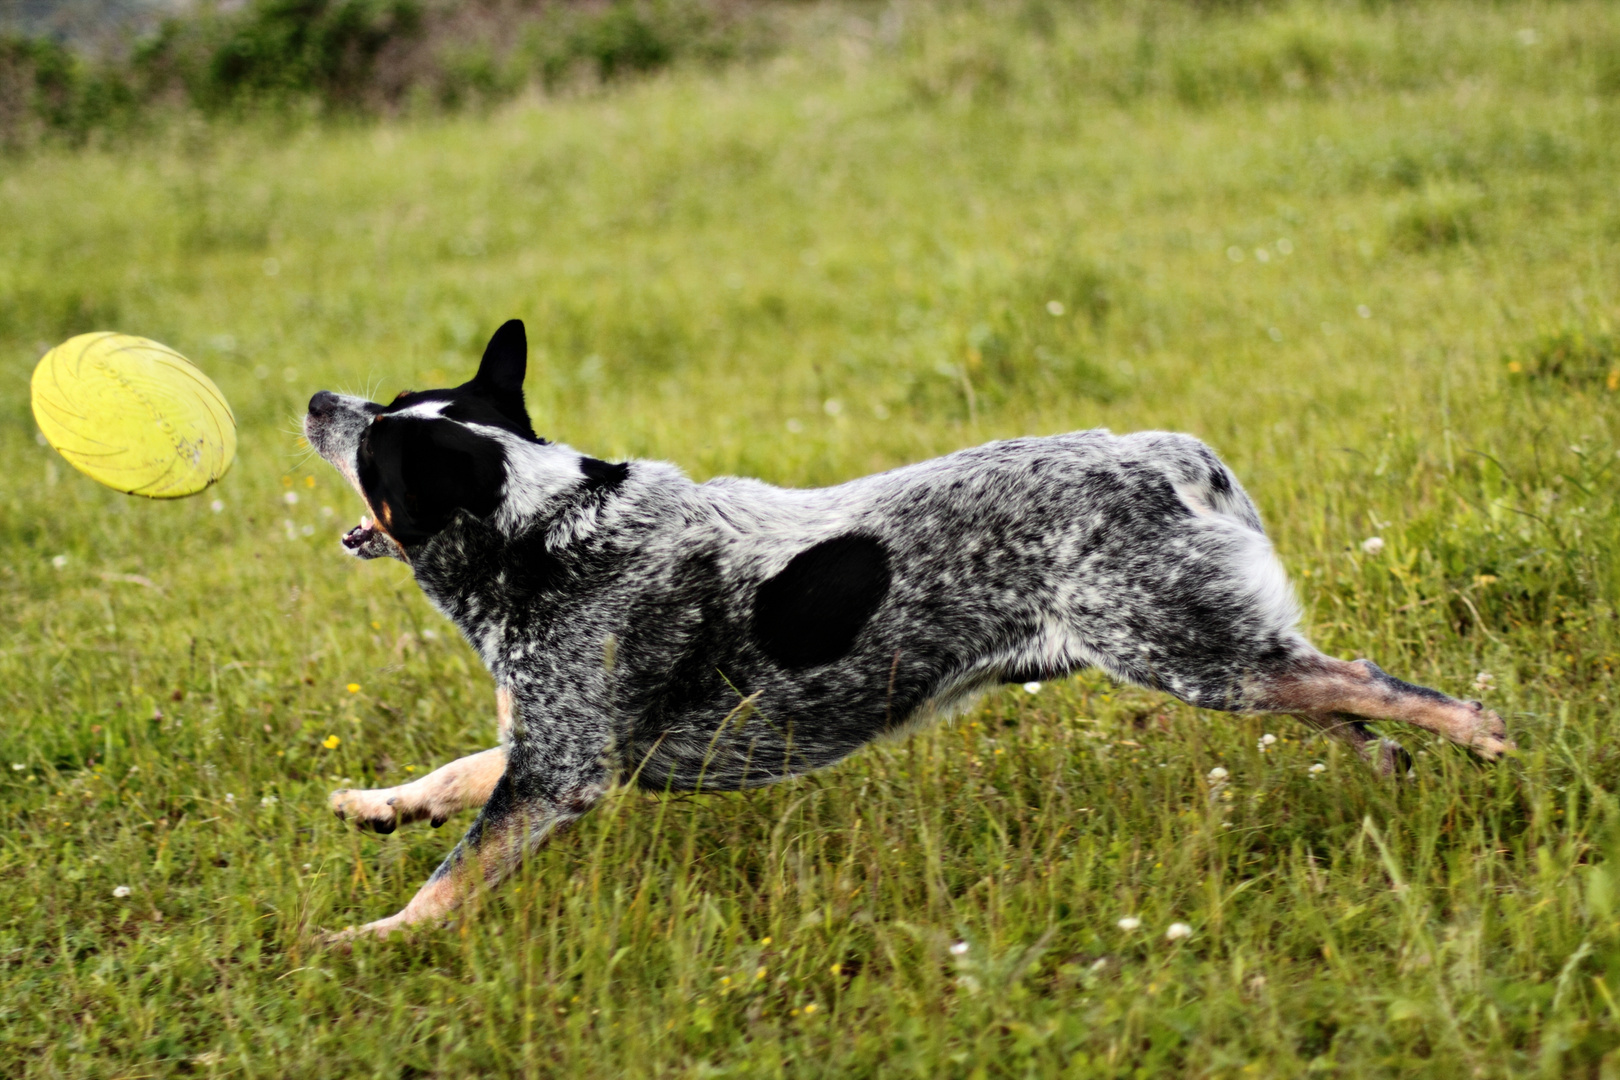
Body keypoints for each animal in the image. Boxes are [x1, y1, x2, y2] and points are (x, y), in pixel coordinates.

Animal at [306, 318, 1516, 939]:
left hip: (1186, 654)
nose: (317, 398)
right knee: (1347, 705)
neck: (546, 531)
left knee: (1377, 684)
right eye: (387, 401)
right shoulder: (558, 746)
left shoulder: (563, 773)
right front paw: (375, 806)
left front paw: (370, 941)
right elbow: (454, 779)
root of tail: (1169, 454)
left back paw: (1485, 734)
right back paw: (1397, 776)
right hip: (1218, 652)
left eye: (376, 443)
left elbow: (450, 877)